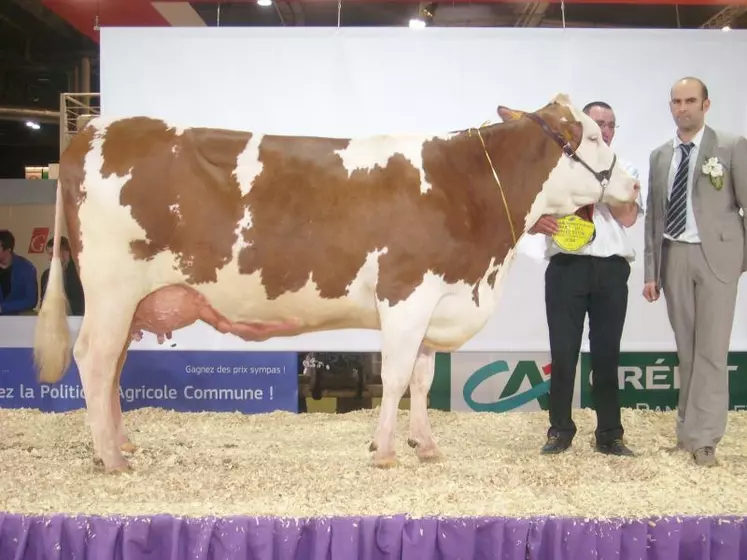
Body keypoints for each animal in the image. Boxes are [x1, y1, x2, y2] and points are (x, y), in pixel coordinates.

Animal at [33, 92, 636, 472]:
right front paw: (384, 451)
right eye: (595, 136)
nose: (632, 186)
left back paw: (121, 444)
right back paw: (111, 459)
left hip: (130, 302)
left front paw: (425, 446)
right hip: (111, 289)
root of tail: (94, 129)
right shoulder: (406, 294)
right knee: (94, 359)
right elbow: (395, 377)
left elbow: (421, 378)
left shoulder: (435, 300)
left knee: (113, 367)